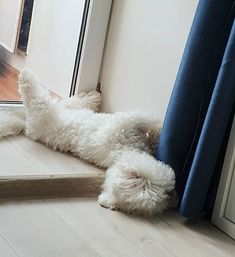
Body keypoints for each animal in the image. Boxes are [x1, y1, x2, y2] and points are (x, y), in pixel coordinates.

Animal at [0, 68, 175, 214]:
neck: (125, 151)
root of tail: (27, 127)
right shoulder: (129, 122)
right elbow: (148, 120)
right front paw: (159, 132)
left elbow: (149, 125)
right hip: (48, 111)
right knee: (45, 97)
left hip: (48, 112)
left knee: (54, 101)